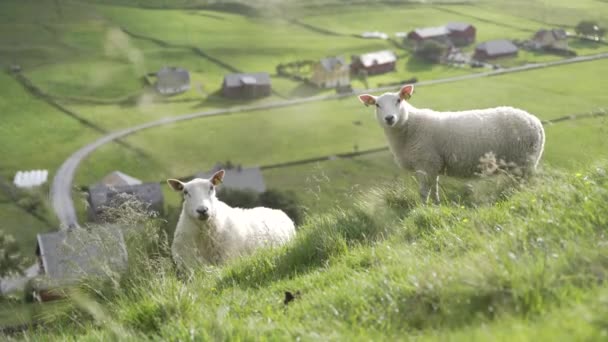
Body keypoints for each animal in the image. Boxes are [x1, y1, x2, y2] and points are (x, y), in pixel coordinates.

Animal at [167, 171, 296, 270]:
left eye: (211, 188)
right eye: (185, 192)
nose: (202, 210)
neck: (205, 236)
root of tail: (278, 211)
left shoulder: (229, 259)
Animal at [358, 85, 544, 203]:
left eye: (398, 100)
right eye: (377, 104)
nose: (390, 118)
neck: (410, 126)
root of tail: (535, 122)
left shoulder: (425, 163)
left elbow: (423, 192)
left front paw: (422, 208)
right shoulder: (433, 165)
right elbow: (434, 189)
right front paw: (436, 205)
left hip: (524, 161)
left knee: (528, 183)